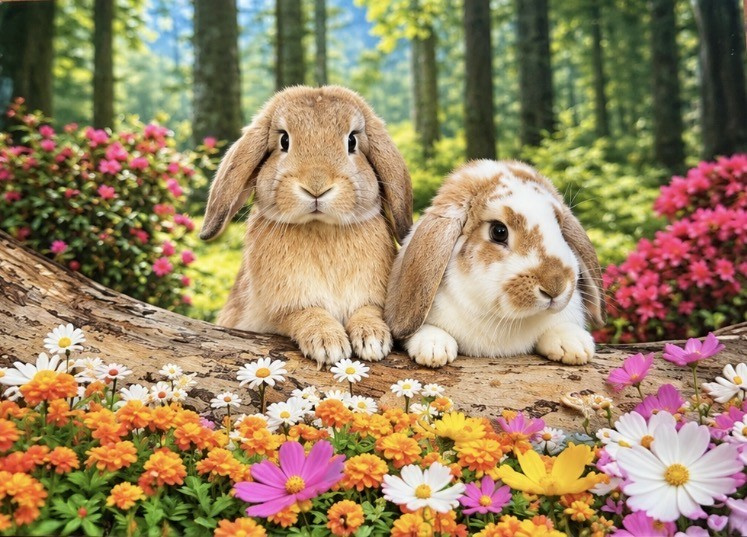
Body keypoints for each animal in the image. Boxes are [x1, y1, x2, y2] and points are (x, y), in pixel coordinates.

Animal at [200, 85, 413, 368]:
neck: (321, 227)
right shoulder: (281, 309)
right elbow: (306, 313)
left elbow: (367, 310)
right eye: (284, 141)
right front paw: (329, 343)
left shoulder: (371, 298)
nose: (316, 186)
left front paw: (373, 339)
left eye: (352, 141)